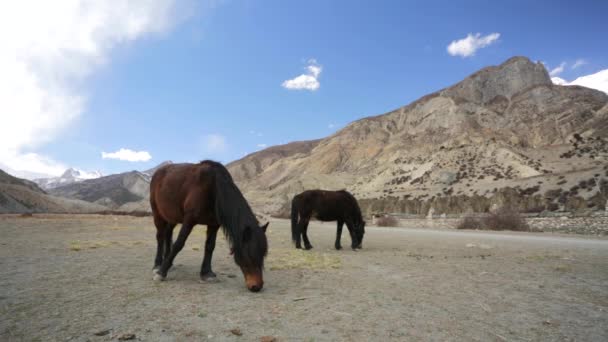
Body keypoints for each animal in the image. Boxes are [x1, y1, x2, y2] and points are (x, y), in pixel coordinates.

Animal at [150, 160, 268, 292]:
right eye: (249, 255)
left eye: (263, 255)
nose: (257, 286)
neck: (213, 189)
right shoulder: (189, 220)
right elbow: (179, 244)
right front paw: (161, 273)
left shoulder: (213, 224)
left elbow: (210, 246)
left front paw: (207, 273)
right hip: (157, 214)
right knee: (160, 237)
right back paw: (158, 265)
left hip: (172, 217)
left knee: (168, 234)